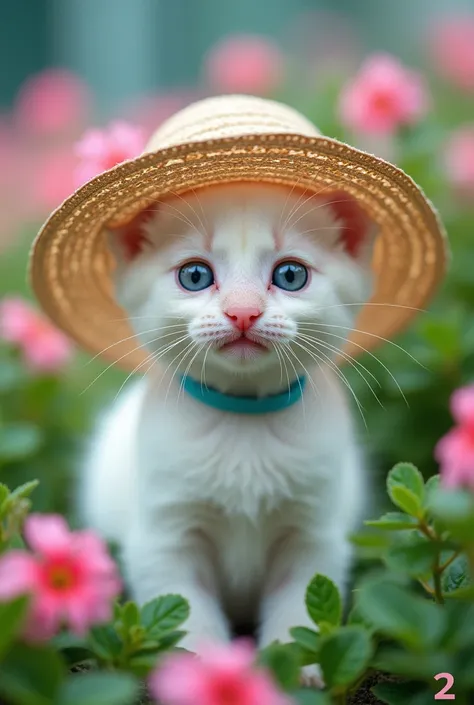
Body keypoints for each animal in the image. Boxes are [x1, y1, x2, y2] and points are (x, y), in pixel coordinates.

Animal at [80, 183, 378, 664]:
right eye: (194, 276)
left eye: (291, 275)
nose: (243, 312)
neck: (244, 420)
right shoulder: (164, 537)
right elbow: (187, 609)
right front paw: (205, 670)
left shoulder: (313, 534)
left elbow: (298, 605)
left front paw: (294, 665)